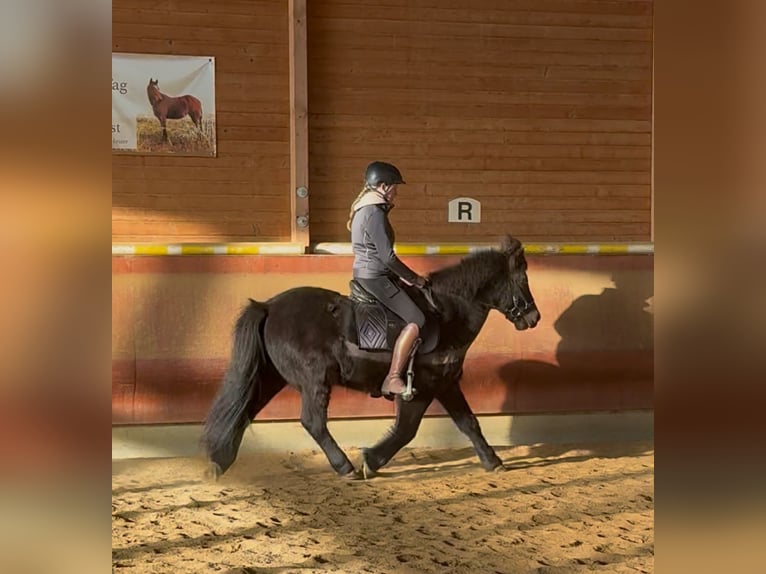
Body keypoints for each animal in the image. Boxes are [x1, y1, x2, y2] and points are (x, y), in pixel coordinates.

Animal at [201, 235, 541, 480]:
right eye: (522, 280)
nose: (534, 317)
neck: (447, 315)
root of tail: (269, 306)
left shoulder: (445, 384)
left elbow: (469, 422)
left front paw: (493, 460)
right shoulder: (421, 388)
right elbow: (407, 430)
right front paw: (370, 460)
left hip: (270, 377)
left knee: (245, 410)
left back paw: (219, 462)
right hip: (314, 381)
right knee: (313, 421)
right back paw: (344, 467)